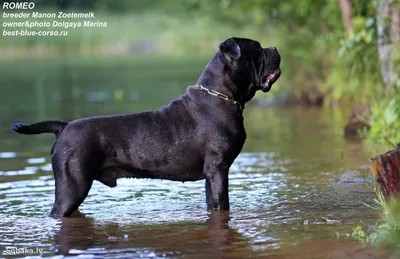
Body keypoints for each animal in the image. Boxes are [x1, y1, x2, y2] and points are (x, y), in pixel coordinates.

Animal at [11, 37, 282, 218]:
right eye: (257, 49)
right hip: (72, 187)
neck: (221, 95)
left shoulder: (211, 174)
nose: (275, 48)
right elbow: (222, 202)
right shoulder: (218, 169)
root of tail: (64, 126)